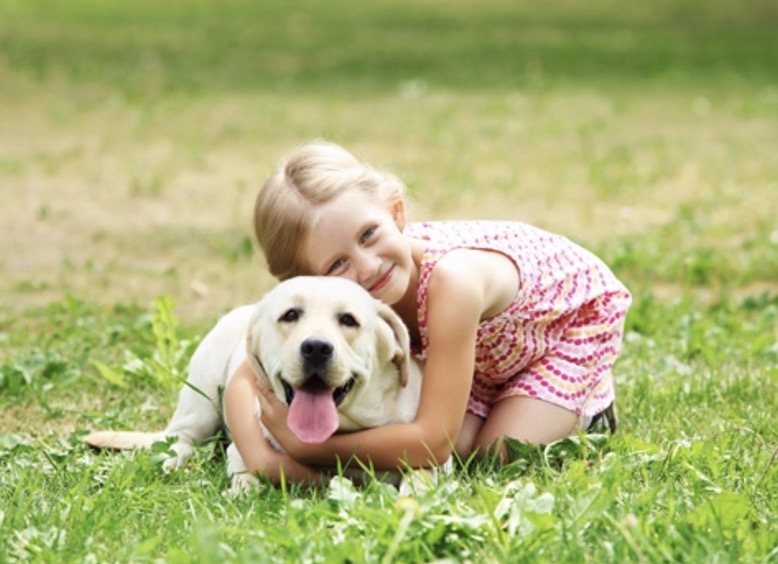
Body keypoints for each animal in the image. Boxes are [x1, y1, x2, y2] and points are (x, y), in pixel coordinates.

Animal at [85, 276, 442, 492]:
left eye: (348, 320)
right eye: (290, 315)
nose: (316, 348)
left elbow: (420, 480)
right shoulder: (243, 451)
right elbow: (248, 474)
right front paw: (243, 493)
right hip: (200, 404)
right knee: (178, 439)